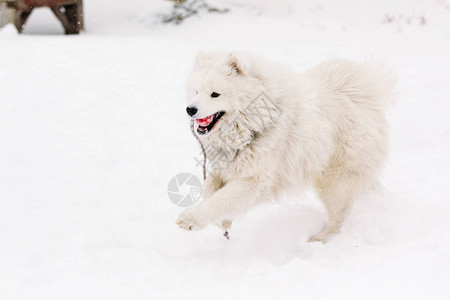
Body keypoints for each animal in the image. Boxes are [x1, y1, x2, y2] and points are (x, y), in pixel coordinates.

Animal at [176, 51, 394, 244]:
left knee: (338, 218)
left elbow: (219, 200)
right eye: (196, 91)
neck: (255, 125)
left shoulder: (254, 181)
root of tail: (364, 98)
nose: (190, 109)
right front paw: (223, 222)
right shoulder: (225, 167)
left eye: (215, 94)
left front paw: (190, 218)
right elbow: (209, 190)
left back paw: (319, 240)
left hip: (335, 181)